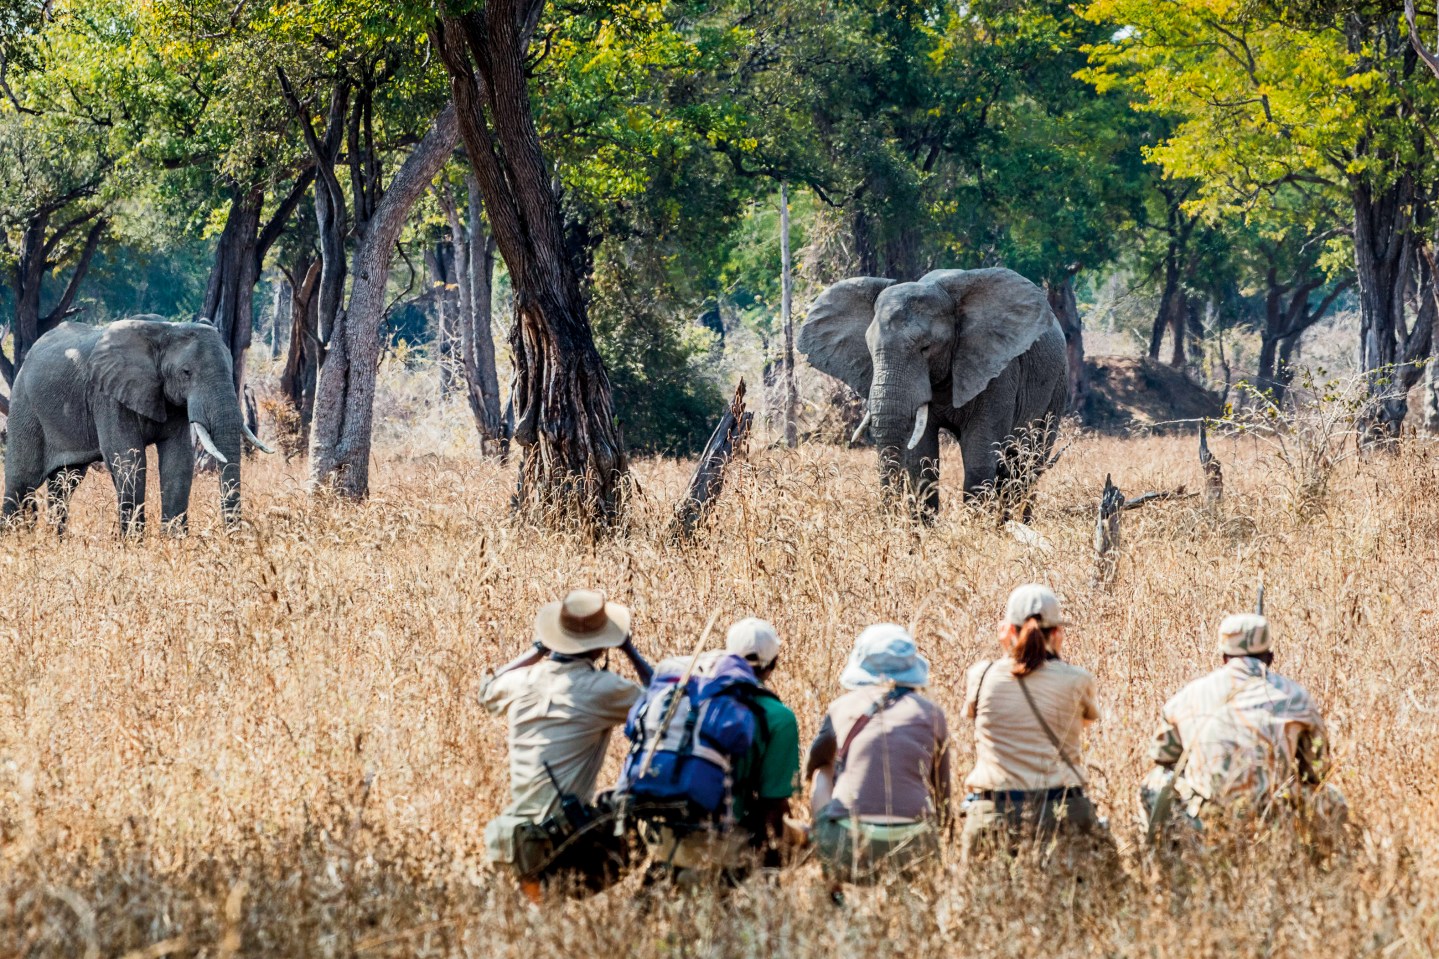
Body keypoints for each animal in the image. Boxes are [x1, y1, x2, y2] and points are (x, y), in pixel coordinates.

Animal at [1, 316, 271, 532]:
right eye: (186, 373)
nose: (232, 536)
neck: (165, 331)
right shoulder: (107, 395)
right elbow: (129, 459)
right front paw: (133, 543)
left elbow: (178, 461)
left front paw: (174, 542)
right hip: (24, 404)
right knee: (22, 480)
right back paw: (16, 537)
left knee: (65, 483)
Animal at [800, 264, 1070, 518]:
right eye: (869, 348)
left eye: (926, 348)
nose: (889, 520)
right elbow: (922, 461)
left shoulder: (998, 371)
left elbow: (979, 458)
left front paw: (973, 528)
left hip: (1057, 384)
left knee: (1027, 461)